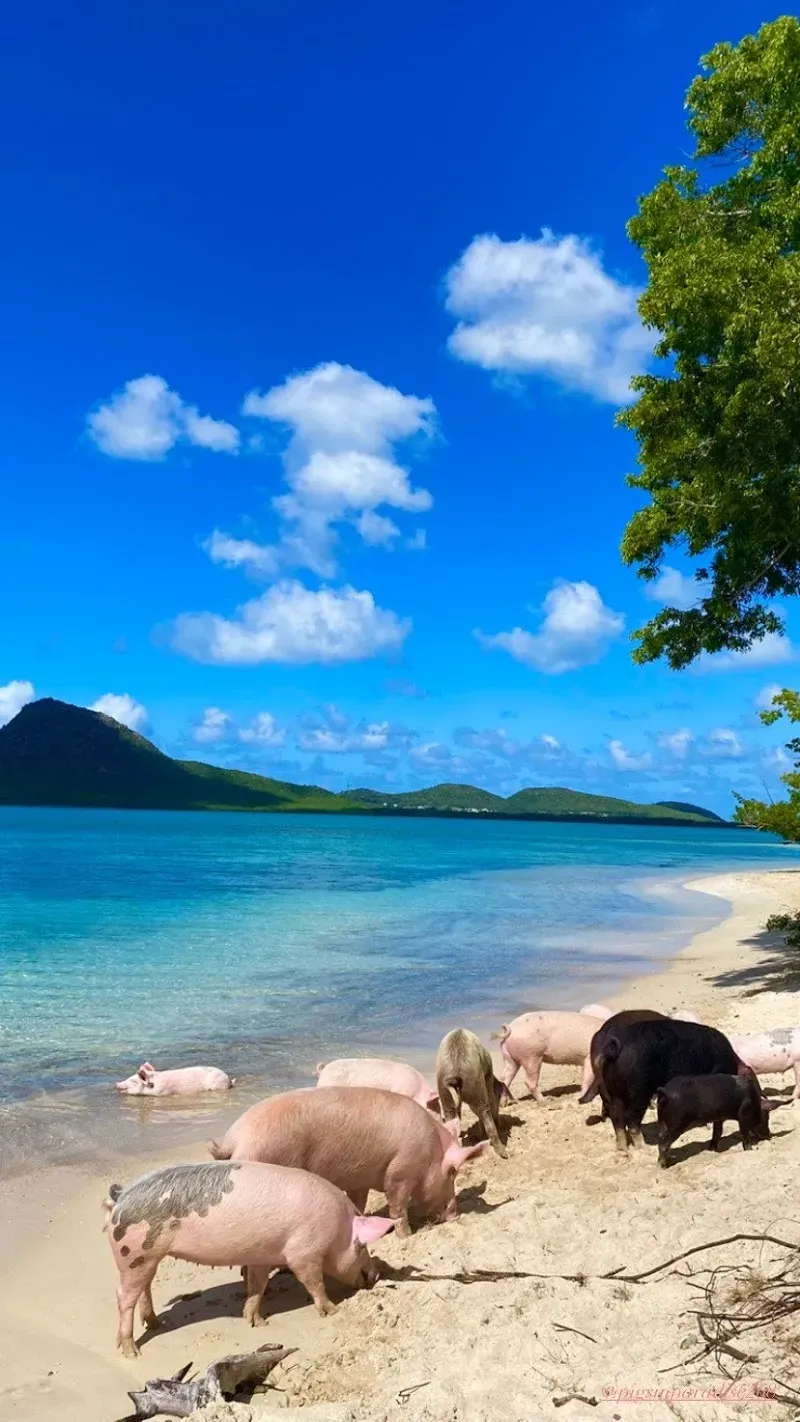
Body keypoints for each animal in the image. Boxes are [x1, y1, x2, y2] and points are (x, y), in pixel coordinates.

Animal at [104, 1161, 394, 1357]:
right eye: (361, 1247)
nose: (376, 1274)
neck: (337, 1229)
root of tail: (121, 1196)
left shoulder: (262, 1256)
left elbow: (258, 1286)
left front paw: (257, 1322)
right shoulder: (303, 1253)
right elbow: (314, 1282)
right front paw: (332, 1310)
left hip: (148, 1258)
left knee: (144, 1288)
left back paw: (156, 1323)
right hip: (133, 1255)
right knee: (123, 1297)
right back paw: (131, 1351)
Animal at [208, 1086, 486, 1238]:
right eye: (452, 1172)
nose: (455, 1214)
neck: (430, 1151)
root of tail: (233, 1139)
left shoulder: (359, 1180)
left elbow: (358, 1204)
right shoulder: (399, 1172)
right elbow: (398, 1208)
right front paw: (406, 1237)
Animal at [435, 1028, 512, 1158]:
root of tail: (453, 1077)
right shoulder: (487, 1080)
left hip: (444, 1090)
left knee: (450, 1116)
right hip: (474, 1085)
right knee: (487, 1119)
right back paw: (504, 1153)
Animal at [593, 1018, 750, 1154]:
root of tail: (616, 1050)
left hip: (614, 1092)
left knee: (617, 1119)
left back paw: (622, 1150)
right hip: (639, 1091)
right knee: (631, 1120)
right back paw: (644, 1149)